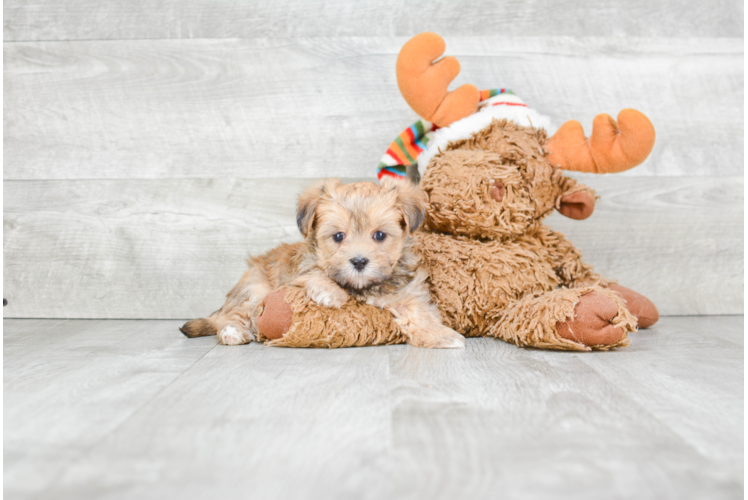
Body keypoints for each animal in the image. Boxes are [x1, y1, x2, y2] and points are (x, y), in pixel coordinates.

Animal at [179, 179, 464, 348]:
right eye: (338, 237)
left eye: (380, 236)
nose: (359, 261)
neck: (361, 287)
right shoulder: (297, 268)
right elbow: (315, 270)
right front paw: (330, 292)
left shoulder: (407, 292)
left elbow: (420, 313)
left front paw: (442, 335)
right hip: (255, 288)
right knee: (235, 314)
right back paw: (233, 331)